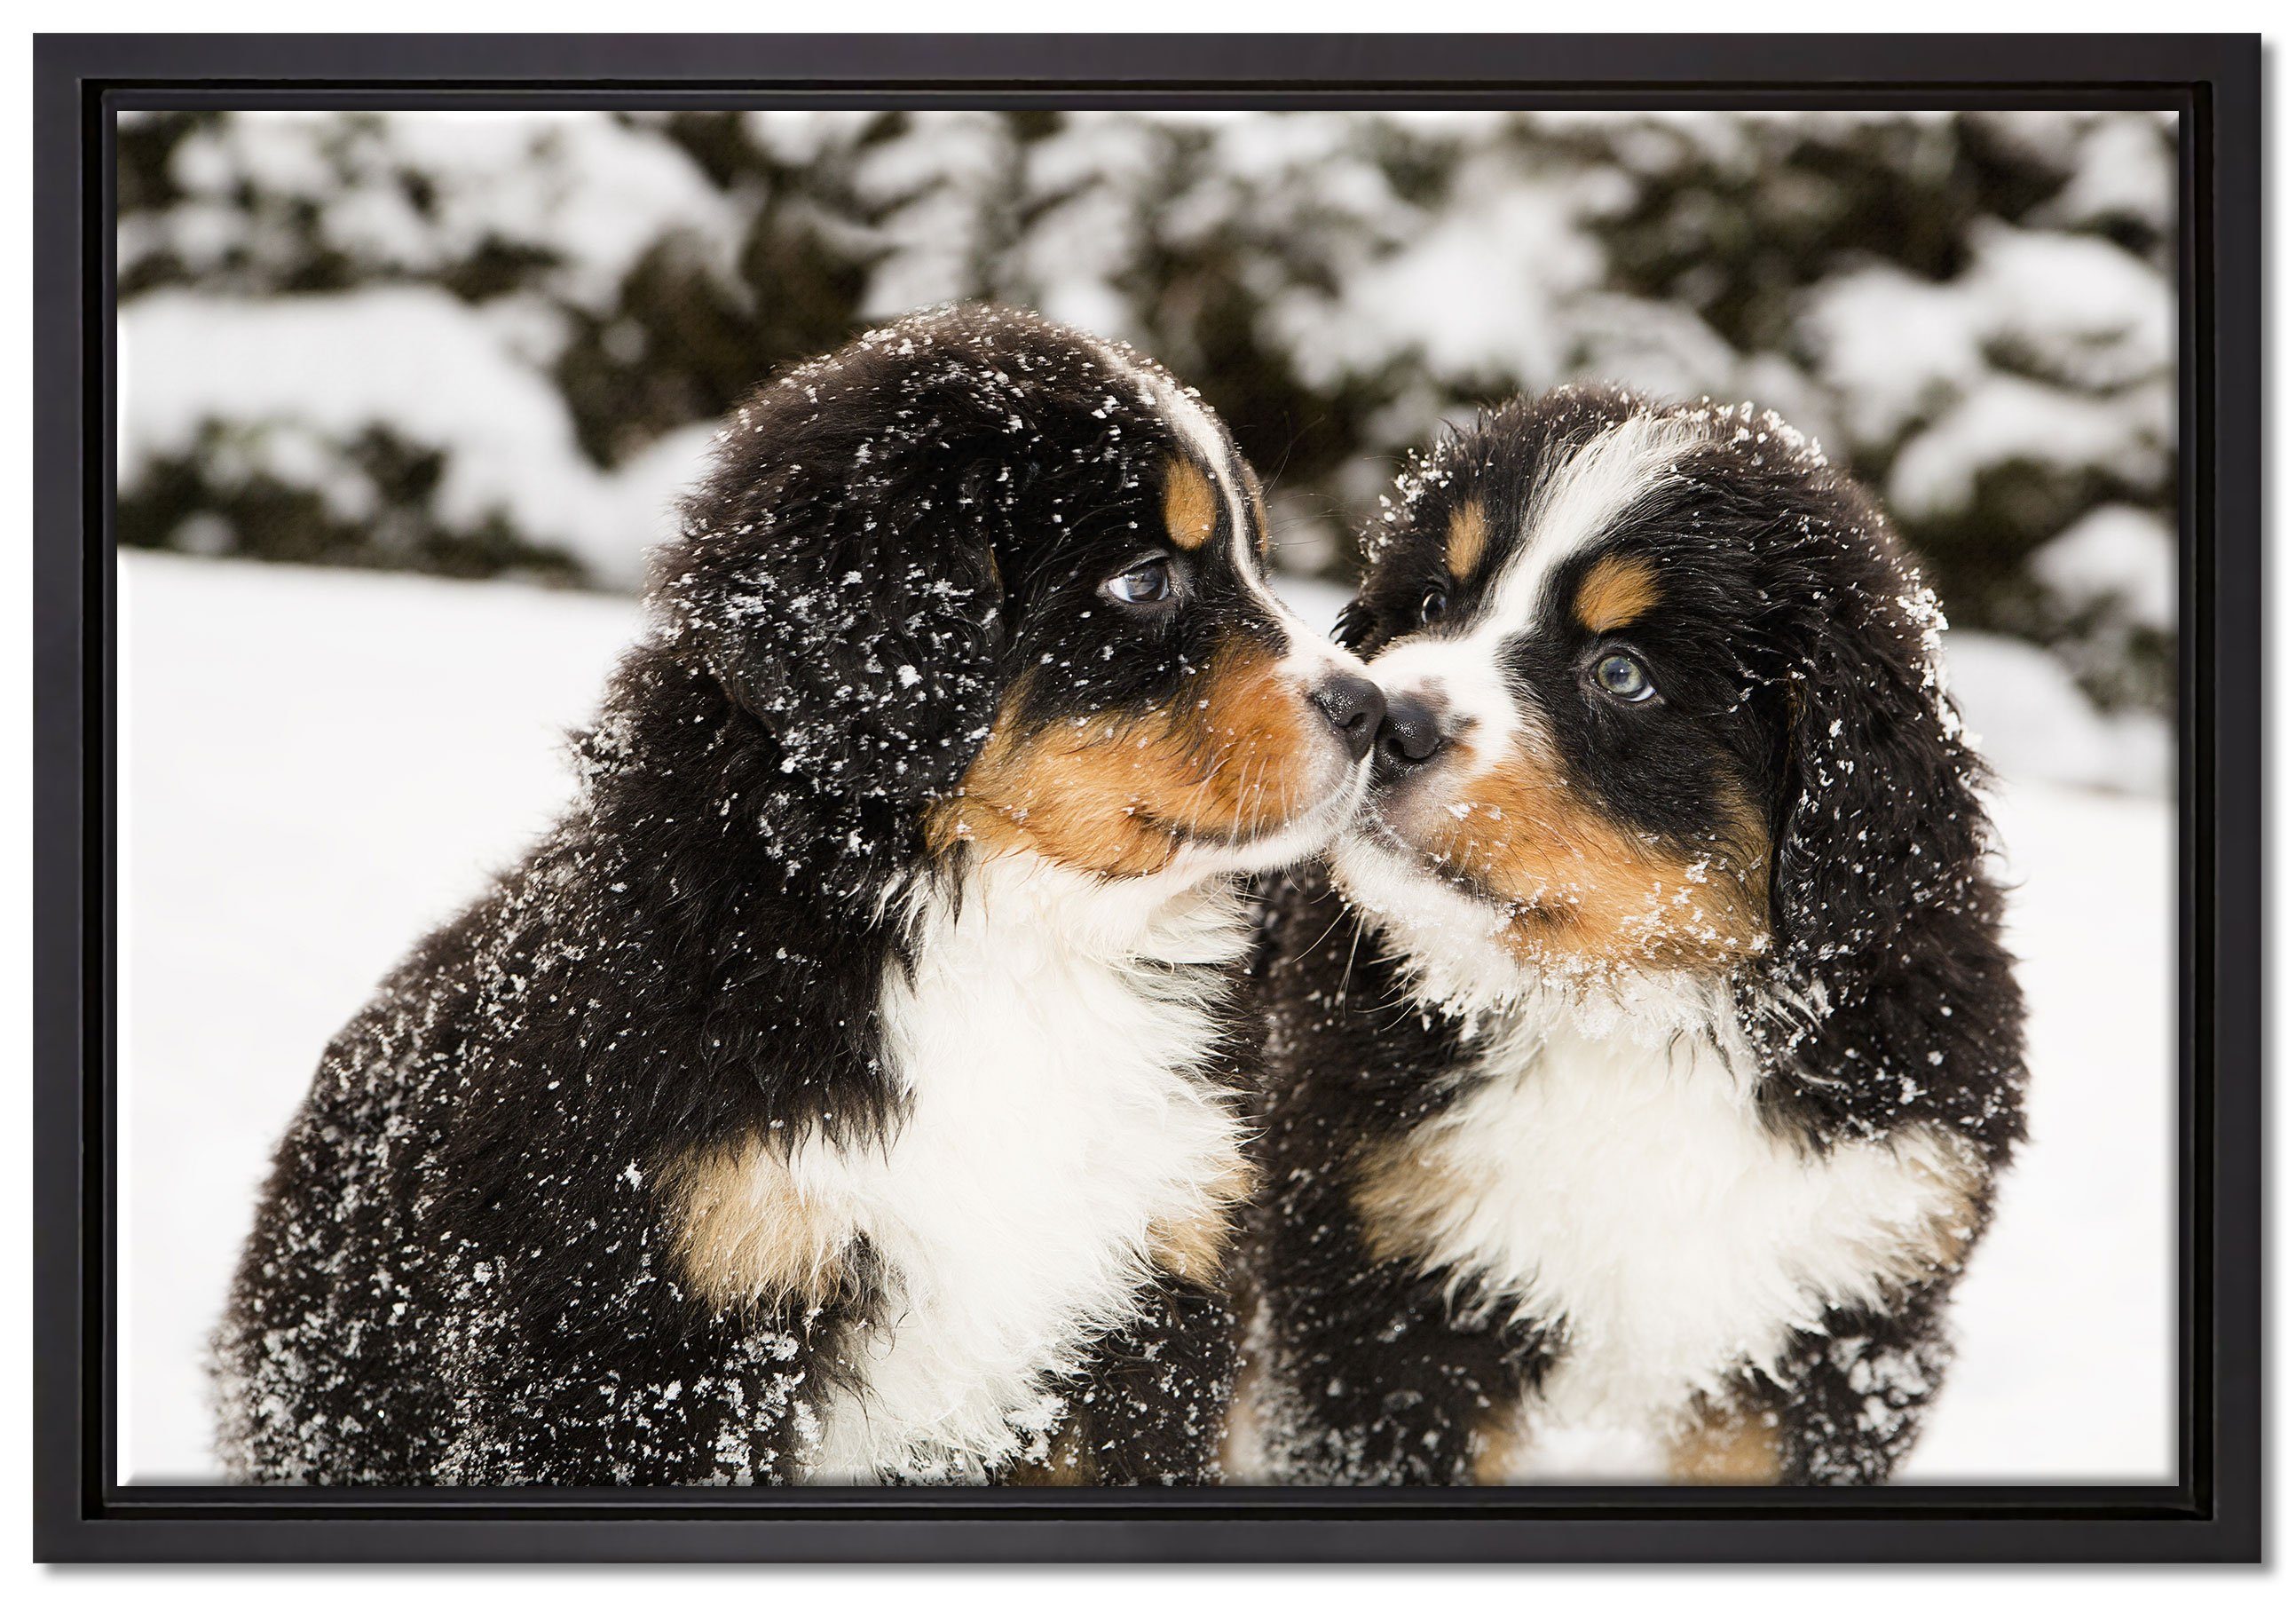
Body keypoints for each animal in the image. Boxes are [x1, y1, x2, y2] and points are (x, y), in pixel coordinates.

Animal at [219, 303, 1377, 1487]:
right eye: (1145, 580)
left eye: (1257, 560)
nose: (1370, 710)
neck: (1007, 940)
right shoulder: (650, 1338)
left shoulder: (1150, 1303)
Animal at [1249, 383, 2020, 1487]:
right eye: (1435, 604)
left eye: (1621, 674)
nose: (1387, 716)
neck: (1626, 1018)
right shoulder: (1382, 1296)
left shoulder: (1847, 1315)